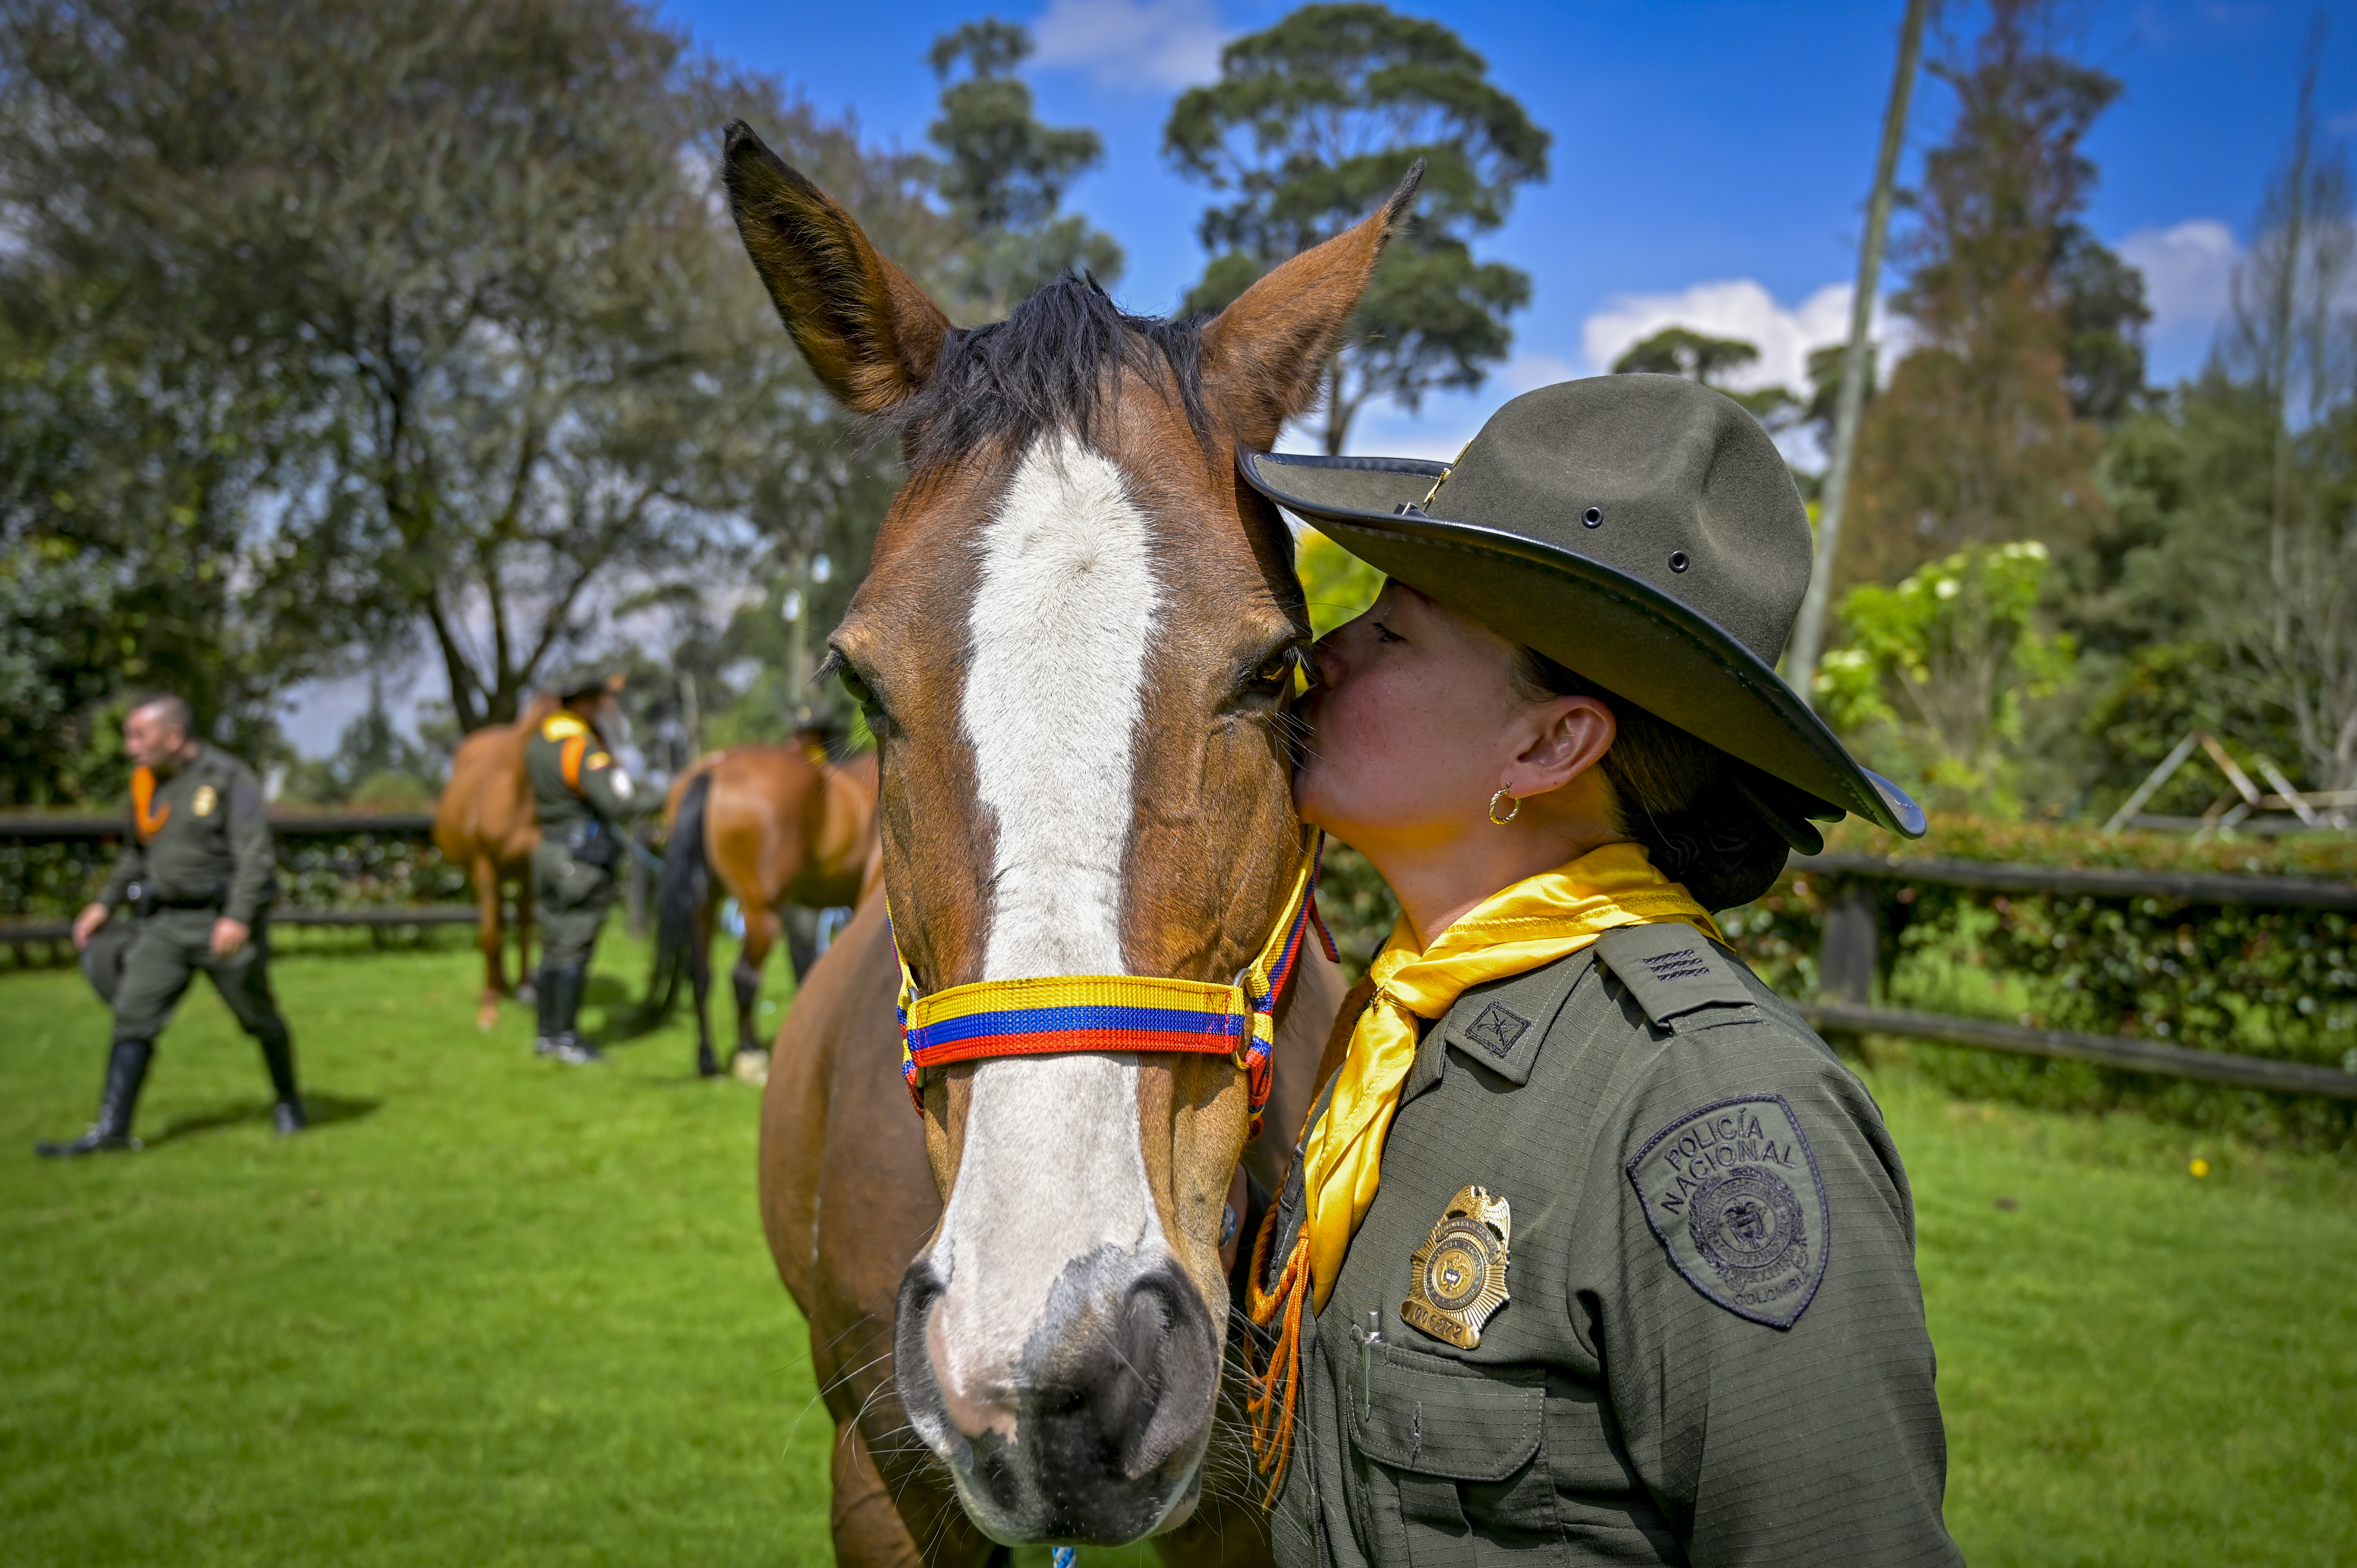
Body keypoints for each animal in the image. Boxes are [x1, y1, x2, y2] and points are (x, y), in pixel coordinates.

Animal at [433, 691, 560, 1030]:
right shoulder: (485, 866)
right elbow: (491, 934)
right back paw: (499, 985)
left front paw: (527, 990)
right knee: (497, 924)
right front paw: (489, 1008)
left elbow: (526, 926)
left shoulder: (530, 868)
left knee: (520, 922)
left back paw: (519, 985)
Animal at [643, 739, 881, 1079]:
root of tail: (712, 770)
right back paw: (751, 1053)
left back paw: (709, 1062)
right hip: (762, 911)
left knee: (701, 976)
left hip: (705, 903)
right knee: (744, 977)